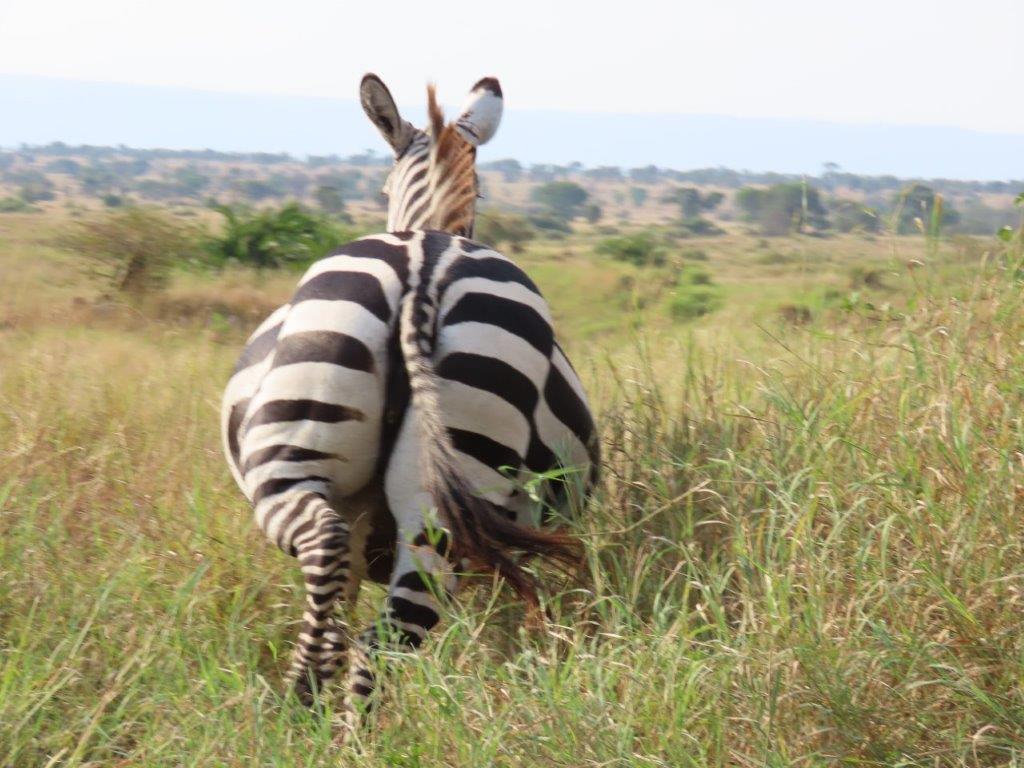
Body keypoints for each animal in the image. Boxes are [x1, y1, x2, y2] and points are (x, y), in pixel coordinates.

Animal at [221, 73, 599, 726]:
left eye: (380, 186)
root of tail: (427, 264)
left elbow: (342, 601)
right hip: (443, 490)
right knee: (390, 634)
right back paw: (343, 727)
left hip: (292, 463)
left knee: (331, 556)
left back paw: (304, 704)